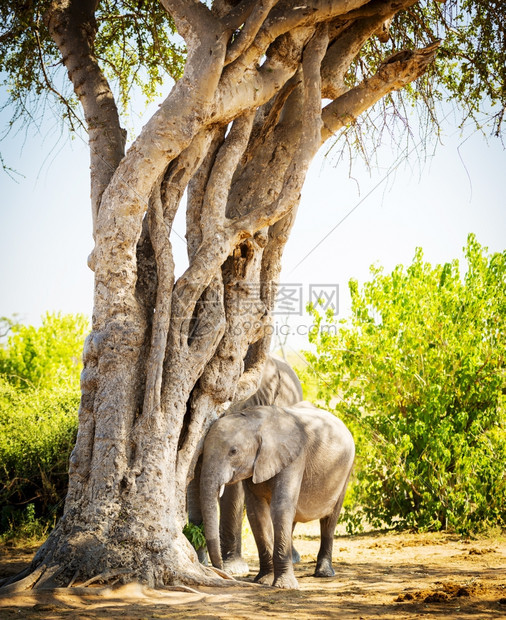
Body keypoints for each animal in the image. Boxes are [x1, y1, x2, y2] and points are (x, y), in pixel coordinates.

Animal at [200, 400, 354, 588]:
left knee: (329, 520)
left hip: (346, 470)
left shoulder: (294, 457)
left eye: (233, 451)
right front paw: (264, 580)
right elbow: (256, 513)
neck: (255, 420)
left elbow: (280, 507)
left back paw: (324, 573)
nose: (221, 570)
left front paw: (285, 586)